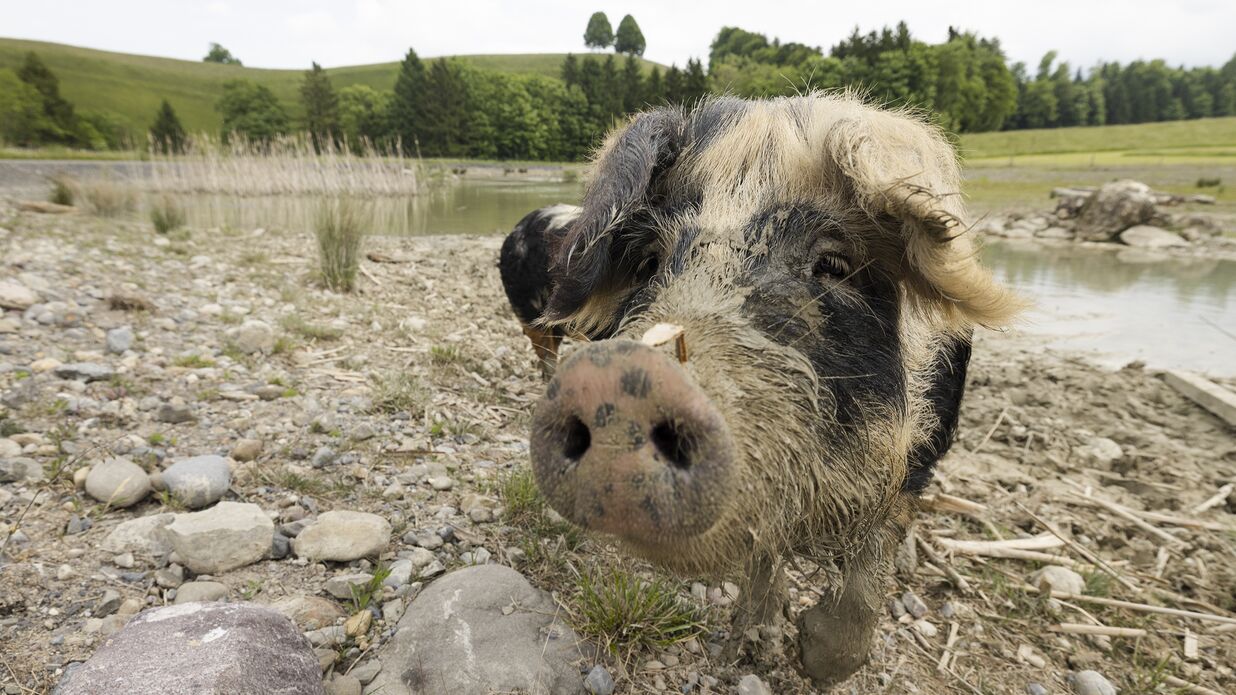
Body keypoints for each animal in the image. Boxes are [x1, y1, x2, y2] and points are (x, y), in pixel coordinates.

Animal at [511, 93, 1022, 686]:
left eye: (834, 263)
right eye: (649, 262)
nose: (620, 376)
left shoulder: (917, 459)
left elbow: (870, 566)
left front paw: (817, 663)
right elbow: (764, 552)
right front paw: (749, 651)